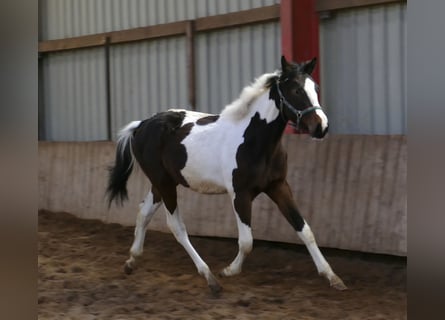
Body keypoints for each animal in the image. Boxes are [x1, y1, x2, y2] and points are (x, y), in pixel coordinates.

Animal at [106, 57, 346, 296]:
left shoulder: (278, 187)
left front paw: (332, 277)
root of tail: (141, 125)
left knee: (143, 212)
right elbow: (247, 241)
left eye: (315, 88)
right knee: (176, 226)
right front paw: (229, 271)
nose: (321, 127)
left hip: (162, 183)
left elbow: (305, 230)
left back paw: (132, 261)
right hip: (164, 184)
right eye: (296, 89)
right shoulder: (240, 194)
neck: (255, 140)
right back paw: (209, 277)